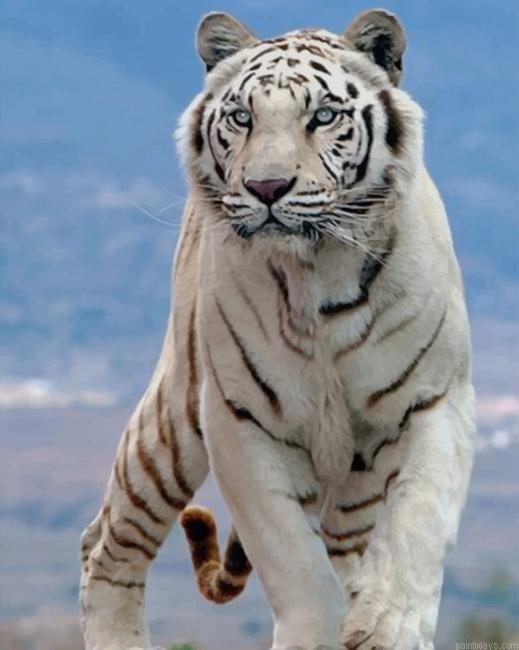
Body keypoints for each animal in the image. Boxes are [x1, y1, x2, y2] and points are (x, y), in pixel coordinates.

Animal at [79, 9, 475, 650]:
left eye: (324, 116)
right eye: (242, 117)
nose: (267, 188)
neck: (321, 275)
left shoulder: (434, 400)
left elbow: (418, 522)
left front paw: (387, 623)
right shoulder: (240, 418)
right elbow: (292, 559)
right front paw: (321, 630)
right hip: (171, 423)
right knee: (106, 544)